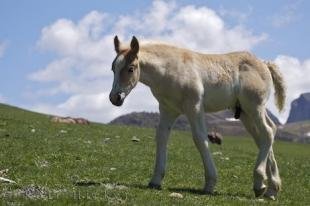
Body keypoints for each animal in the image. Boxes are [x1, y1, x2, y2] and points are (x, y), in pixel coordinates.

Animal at [109, 35, 286, 200]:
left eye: (131, 68)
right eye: (113, 68)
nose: (114, 98)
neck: (170, 69)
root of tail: (264, 63)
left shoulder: (194, 108)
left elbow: (200, 139)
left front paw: (210, 183)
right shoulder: (167, 110)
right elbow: (162, 137)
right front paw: (155, 181)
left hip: (254, 107)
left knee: (267, 132)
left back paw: (259, 183)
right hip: (244, 113)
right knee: (264, 135)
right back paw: (272, 189)